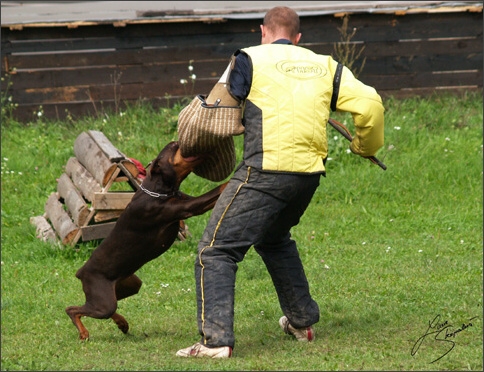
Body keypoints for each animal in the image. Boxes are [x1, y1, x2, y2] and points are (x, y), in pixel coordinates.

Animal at [64, 142, 227, 340]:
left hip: (128, 286)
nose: (179, 141)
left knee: (99, 307)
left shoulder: (183, 201)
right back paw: (84, 332)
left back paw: (122, 323)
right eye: (174, 147)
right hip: (104, 300)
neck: (158, 191)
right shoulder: (187, 207)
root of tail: (81, 272)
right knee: (73, 309)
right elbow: (215, 191)